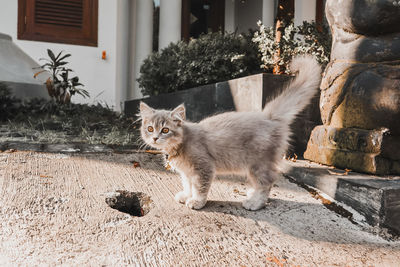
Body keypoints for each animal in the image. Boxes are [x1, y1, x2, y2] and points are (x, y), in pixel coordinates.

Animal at [139, 56, 320, 211]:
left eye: (165, 130)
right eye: (150, 128)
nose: (155, 138)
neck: (180, 145)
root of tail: (267, 116)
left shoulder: (203, 167)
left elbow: (199, 188)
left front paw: (196, 202)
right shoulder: (187, 173)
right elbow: (188, 184)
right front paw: (186, 195)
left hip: (258, 164)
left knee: (266, 182)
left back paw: (255, 202)